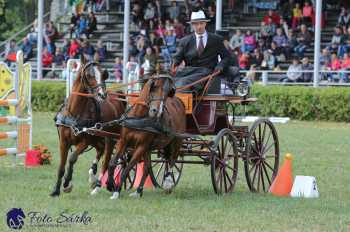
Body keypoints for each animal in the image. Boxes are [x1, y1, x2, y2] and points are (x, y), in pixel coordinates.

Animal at [50, 59, 125, 197]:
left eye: (104, 74)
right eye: (89, 75)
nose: (102, 94)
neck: (75, 113)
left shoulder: (85, 141)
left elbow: (72, 158)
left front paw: (67, 183)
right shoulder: (63, 141)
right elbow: (61, 166)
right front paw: (56, 190)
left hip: (111, 138)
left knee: (108, 161)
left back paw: (104, 185)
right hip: (98, 139)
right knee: (100, 151)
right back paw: (94, 177)